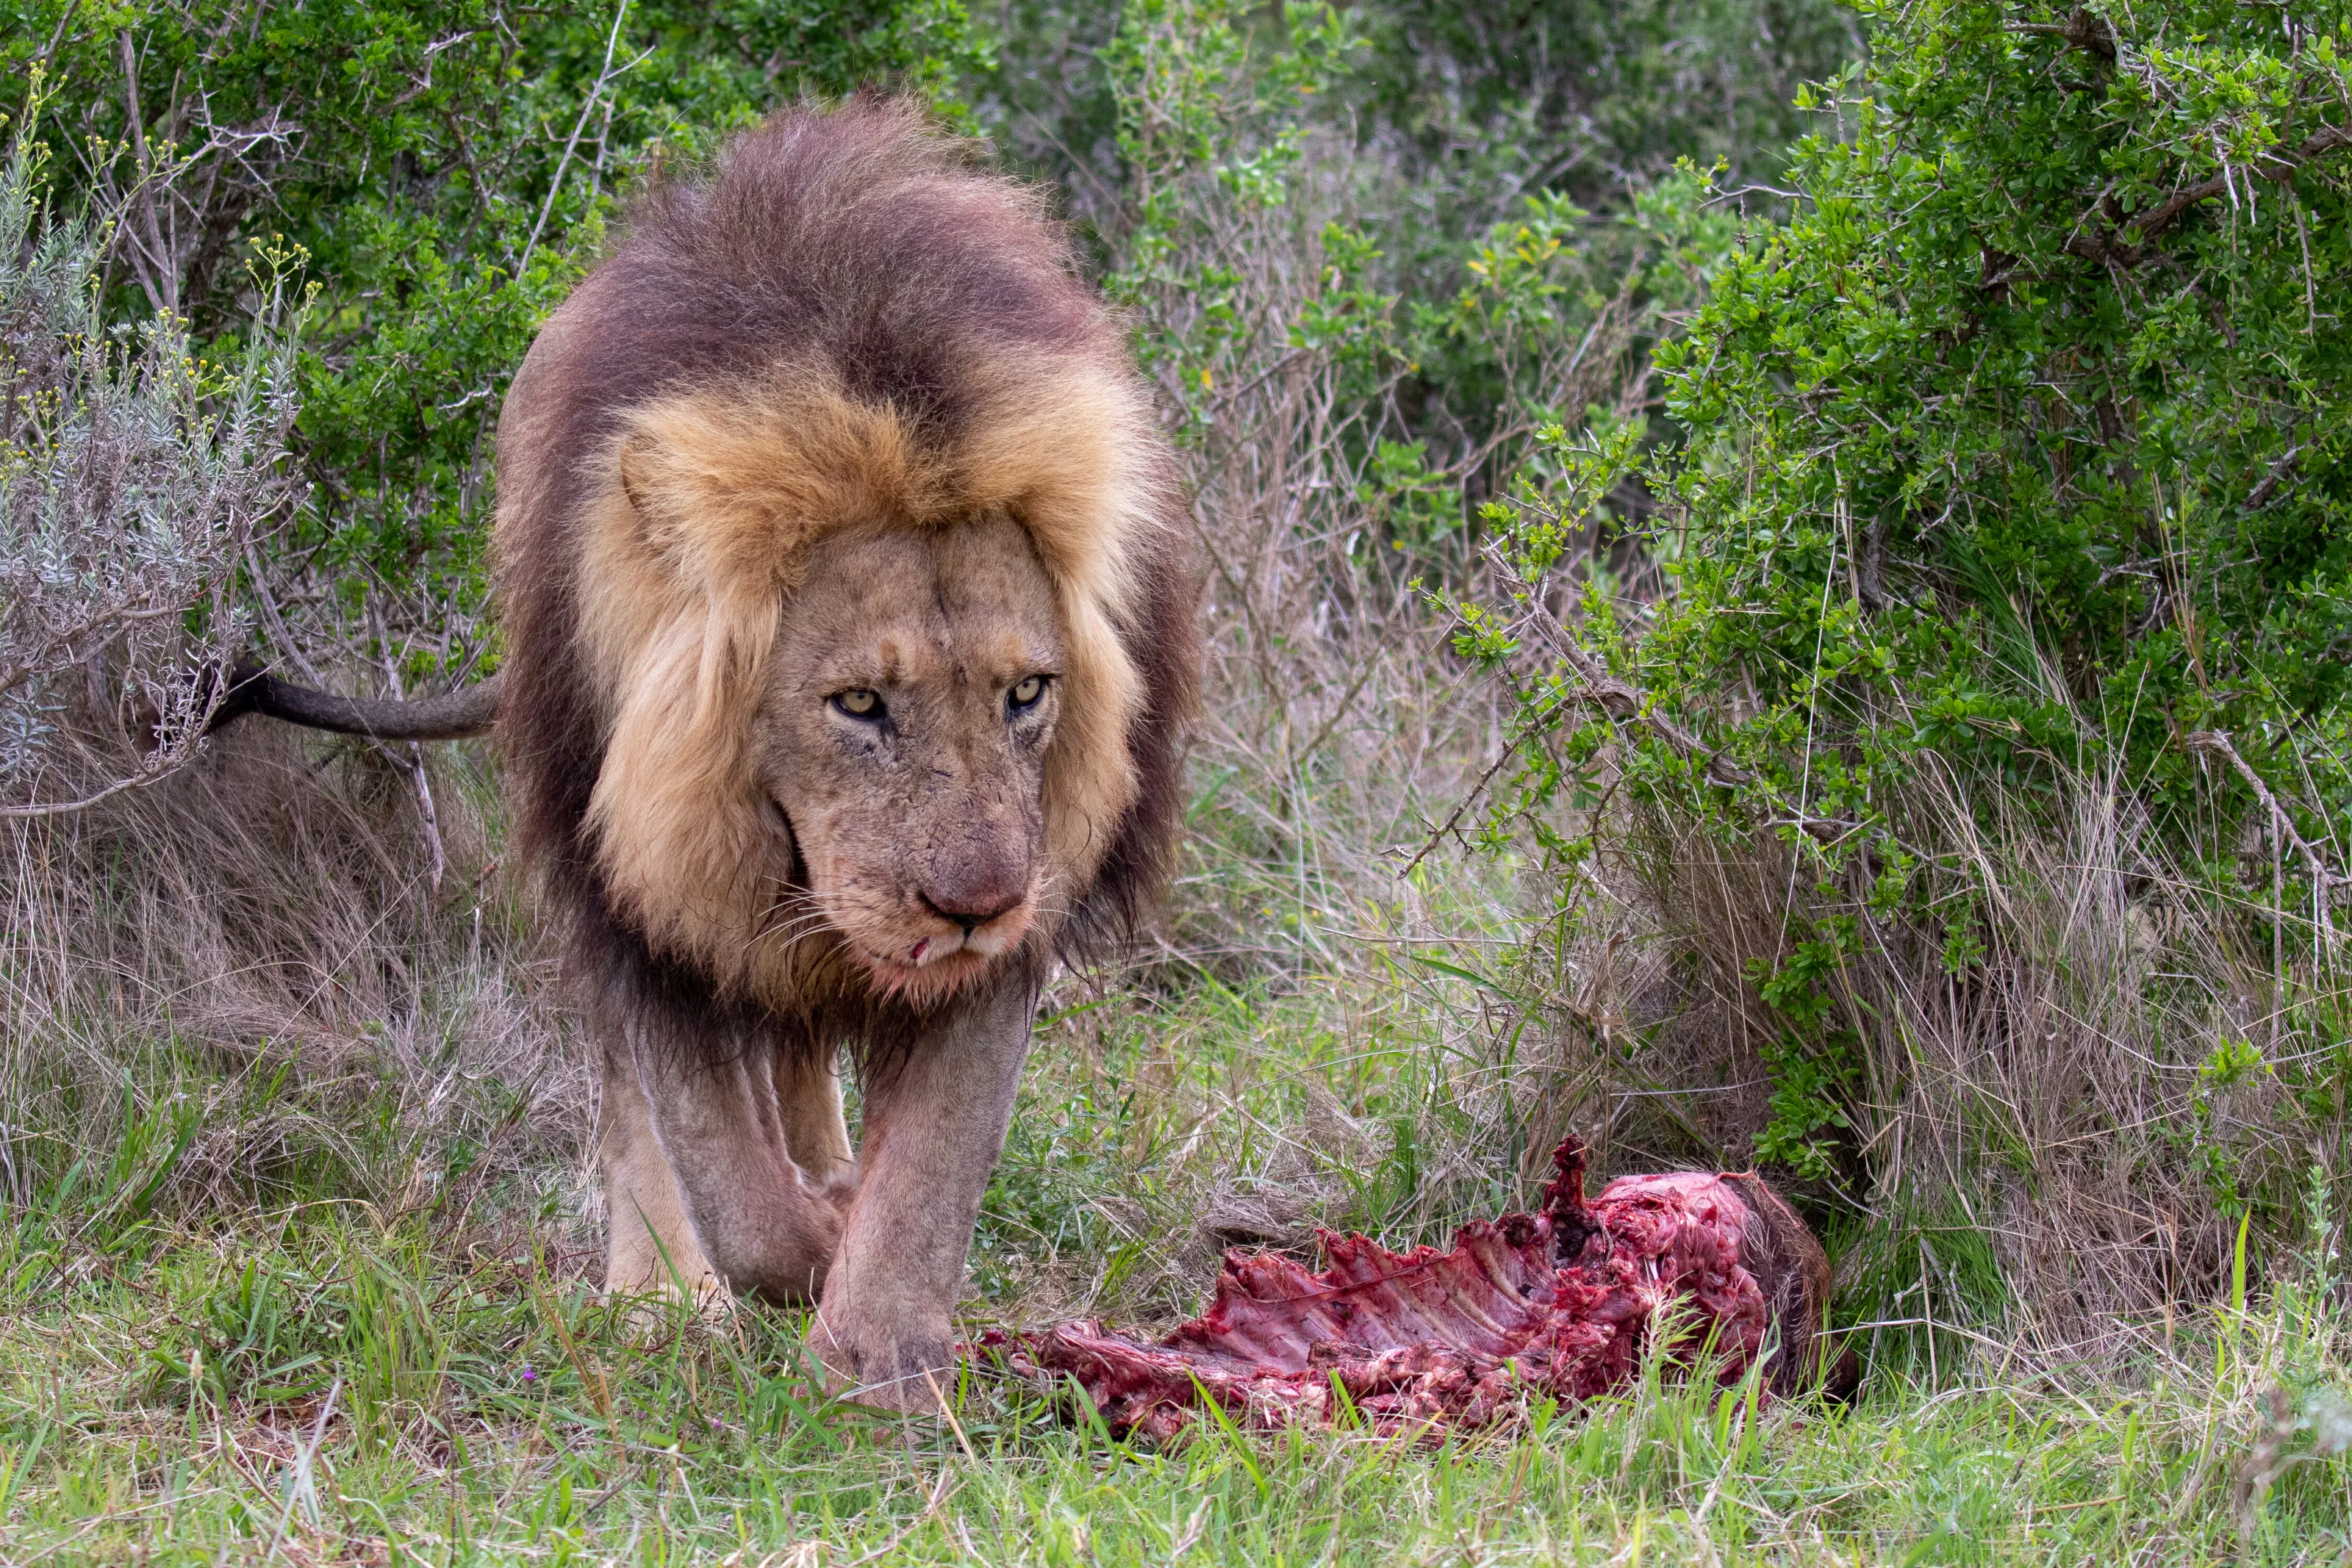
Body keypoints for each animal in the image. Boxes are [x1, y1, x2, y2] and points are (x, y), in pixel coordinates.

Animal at [214, 100, 1199, 1410]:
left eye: (1027, 693)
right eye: (858, 704)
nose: (974, 905)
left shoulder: (1010, 922)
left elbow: (934, 1160)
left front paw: (879, 1359)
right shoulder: (647, 891)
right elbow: (727, 1181)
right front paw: (794, 1259)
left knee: (803, 1050)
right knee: (655, 1097)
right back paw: (660, 1296)